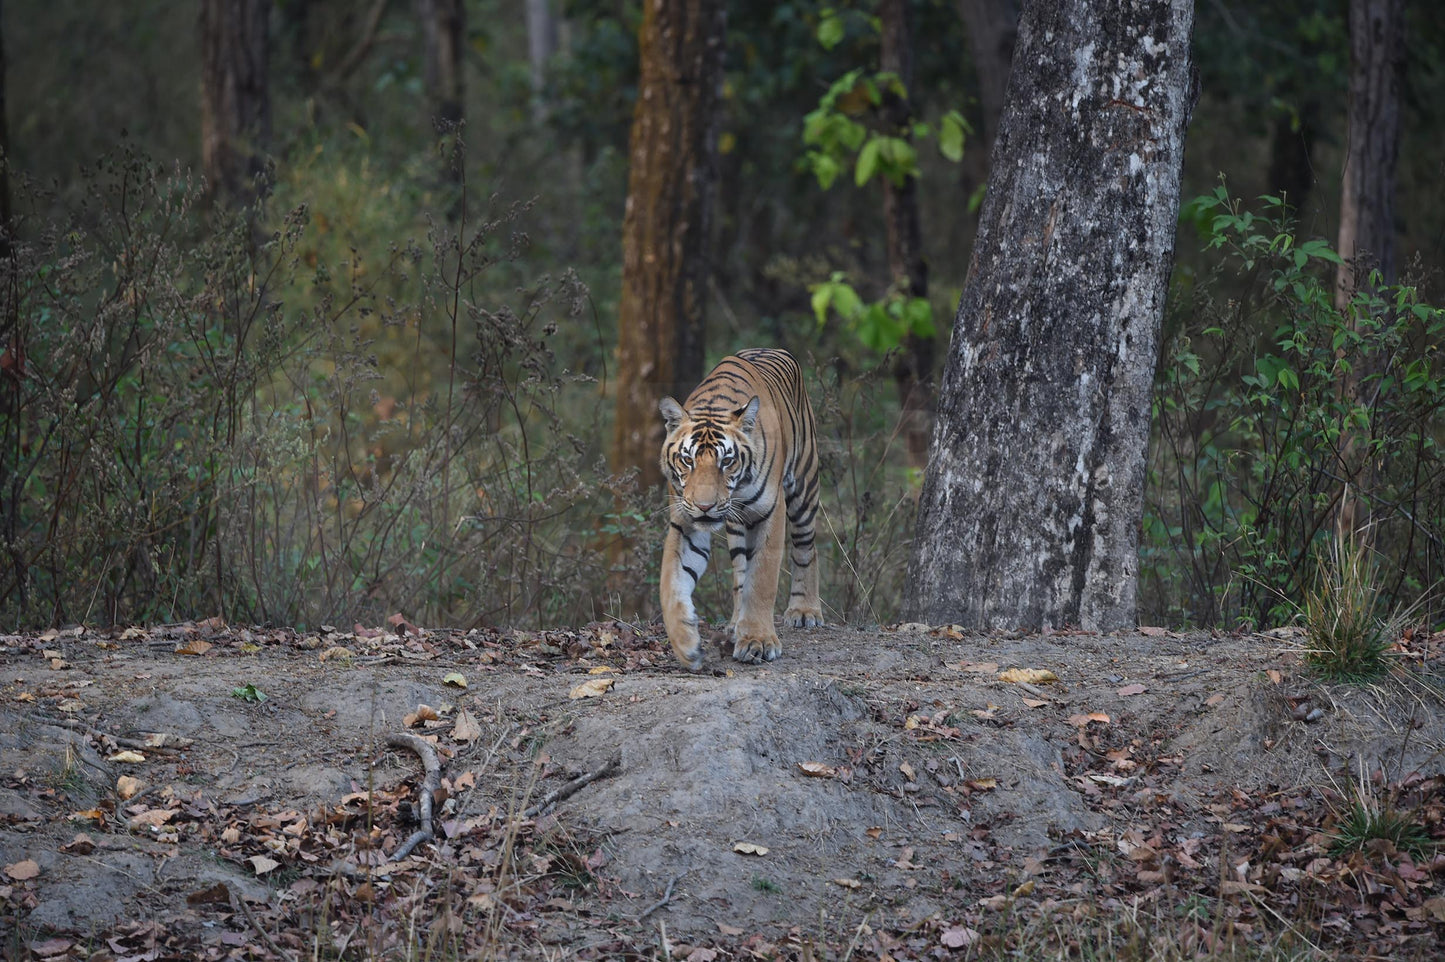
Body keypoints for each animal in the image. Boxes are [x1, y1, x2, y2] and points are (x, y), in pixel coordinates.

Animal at [658, 345, 826, 667]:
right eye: (687, 460)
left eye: (727, 460)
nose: (705, 506)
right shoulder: (684, 523)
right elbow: (671, 583)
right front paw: (685, 643)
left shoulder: (772, 513)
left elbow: (762, 579)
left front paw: (758, 641)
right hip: (737, 528)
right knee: (739, 571)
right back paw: (737, 622)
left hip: (804, 485)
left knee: (806, 548)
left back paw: (804, 610)